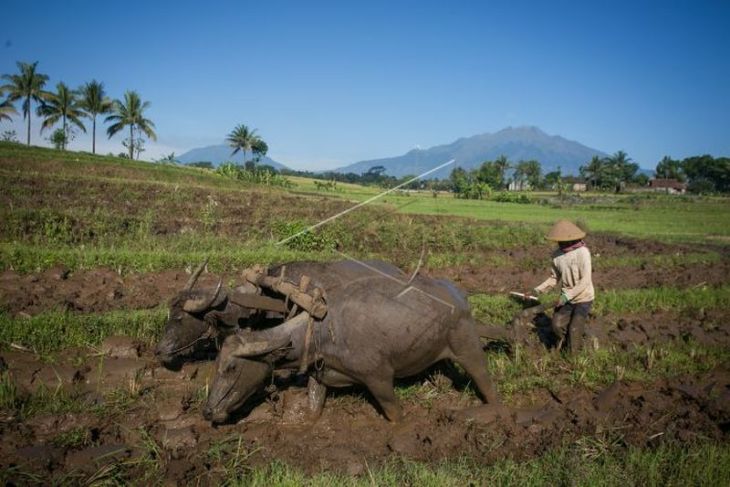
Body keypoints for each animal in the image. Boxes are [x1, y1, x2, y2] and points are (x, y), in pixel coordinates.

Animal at [205, 264, 500, 424]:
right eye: (216, 363)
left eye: (232, 368)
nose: (208, 412)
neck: (323, 328)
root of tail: (458, 293)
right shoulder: (320, 376)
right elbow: (313, 407)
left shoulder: (379, 379)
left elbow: (395, 414)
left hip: (469, 348)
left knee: (486, 382)